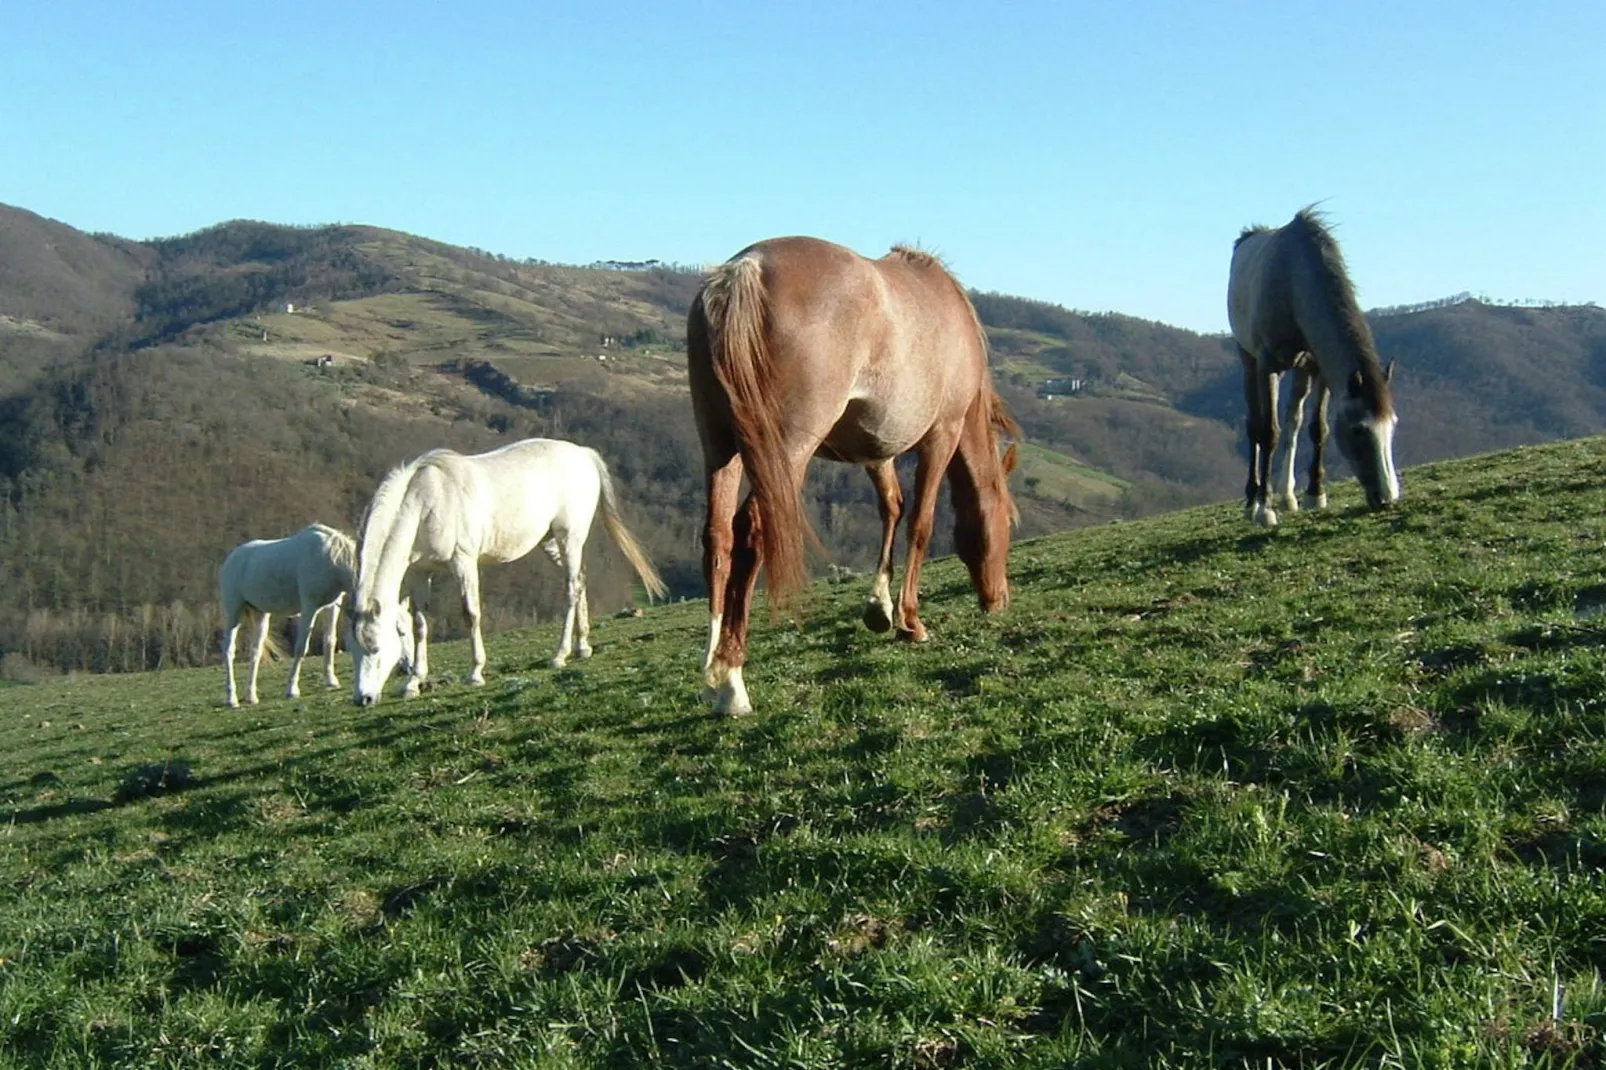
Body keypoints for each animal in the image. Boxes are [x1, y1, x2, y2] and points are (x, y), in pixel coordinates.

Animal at [220, 520, 354, 703]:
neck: (331, 558)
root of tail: (231, 558)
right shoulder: (309, 607)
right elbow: (301, 648)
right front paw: (292, 689)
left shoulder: (332, 606)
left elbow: (329, 641)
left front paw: (331, 681)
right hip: (235, 612)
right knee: (228, 650)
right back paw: (231, 698)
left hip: (260, 614)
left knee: (255, 652)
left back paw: (251, 696)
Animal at [348, 433, 668, 700]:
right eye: (353, 651)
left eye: (376, 648)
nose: (363, 699)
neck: (427, 502)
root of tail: (583, 454)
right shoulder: (419, 572)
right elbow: (420, 625)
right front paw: (413, 683)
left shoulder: (463, 561)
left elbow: (471, 614)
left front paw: (475, 673)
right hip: (552, 544)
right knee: (581, 580)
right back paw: (583, 647)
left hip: (569, 536)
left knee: (571, 589)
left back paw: (560, 655)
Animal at [687, 237, 1014, 713]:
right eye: (1008, 523)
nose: (999, 599)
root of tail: (746, 270)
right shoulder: (942, 434)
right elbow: (921, 523)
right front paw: (910, 621)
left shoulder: (876, 451)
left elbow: (893, 508)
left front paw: (879, 607)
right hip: (784, 452)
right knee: (753, 529)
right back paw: (732, 681)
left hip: (719, 444)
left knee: (718, 537)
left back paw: (712, 672)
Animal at [1226, 205, 1394, 523]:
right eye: (1358, 430)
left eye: (1391, 427)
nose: (1387, 498)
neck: (1294, 280)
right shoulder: (1267, 365)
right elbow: (1268, 432)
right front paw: (1265, 509)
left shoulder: (1319, 368)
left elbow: (1317, 428)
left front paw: (1316, 494)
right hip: (1248, 360)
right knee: (1255, 425)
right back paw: (1253, 499)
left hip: (1301, 371)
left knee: (1294, 420)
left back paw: (1288, 494)